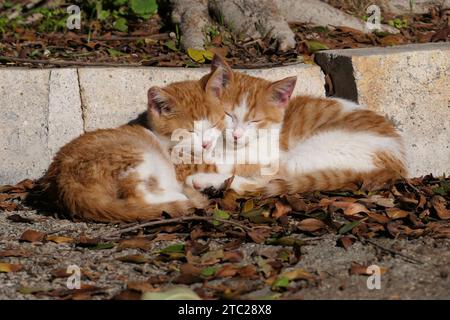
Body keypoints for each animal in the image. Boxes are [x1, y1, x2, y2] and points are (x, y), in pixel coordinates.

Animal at [185, 55, 406, 195]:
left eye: (255, 120)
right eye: (228, 114)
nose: (236, 135)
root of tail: (398, 166)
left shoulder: (269, 154)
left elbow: (234, 163)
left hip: (313, 152)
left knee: (267, 182)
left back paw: (203, 180)